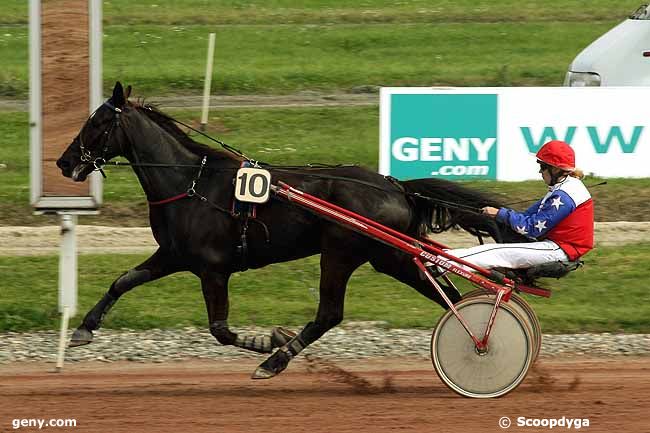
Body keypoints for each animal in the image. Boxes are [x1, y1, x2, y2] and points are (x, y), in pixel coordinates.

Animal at [54, 82, 520, 378]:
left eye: (97, 123)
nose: (63, 161)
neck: (190, 182)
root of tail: (394, 185)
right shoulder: (173, 255)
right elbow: (122, 281)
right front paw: (82, 330)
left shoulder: (212, 268)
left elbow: (220, 330)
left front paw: (267, 343)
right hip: (391, 257)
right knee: (449, 296)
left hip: (342, 253)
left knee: (330, 313)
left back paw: (275, 362)